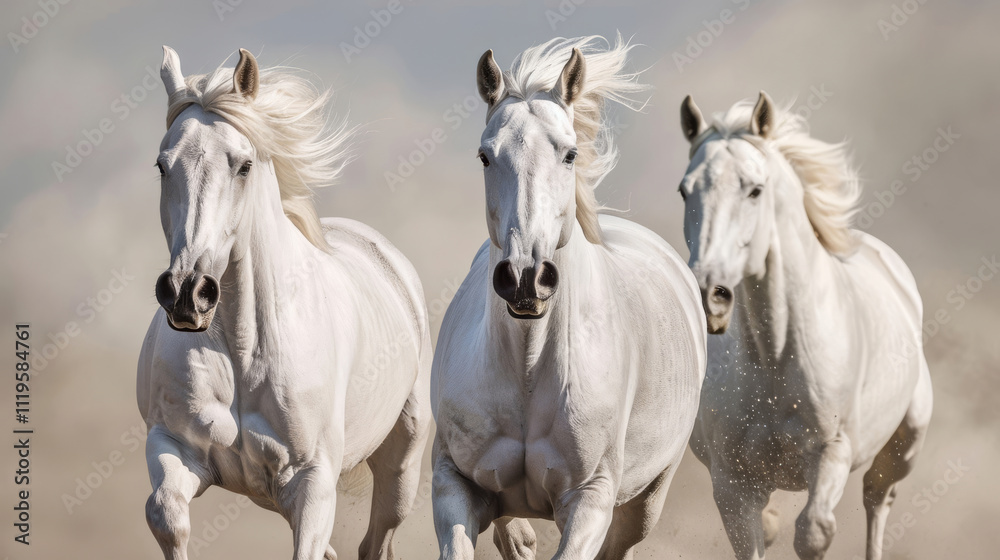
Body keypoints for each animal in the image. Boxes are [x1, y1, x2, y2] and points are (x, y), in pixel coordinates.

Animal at [137, 46, 431, 560]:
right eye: (162, 166)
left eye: (243, 166)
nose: (188, 293)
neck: (243, 350)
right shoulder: (172, 445)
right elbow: (166, 515)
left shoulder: (312, 483)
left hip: (400, 464)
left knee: (376, 539)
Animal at [430, 36, 707, 560]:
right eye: (485, 156)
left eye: (570, 154)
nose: (525, 278)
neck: (528, 368)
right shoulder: (454, 484)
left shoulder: (590, 500)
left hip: (644, 502)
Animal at [677, 92, 933, 560]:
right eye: (685, 190)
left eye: (755, 190)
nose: (710, 294)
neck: (775, 358)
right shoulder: (733, 484)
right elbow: (754, 539)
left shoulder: (830, 454)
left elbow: (814, 532)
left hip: (902, 448)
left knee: (877, 498)